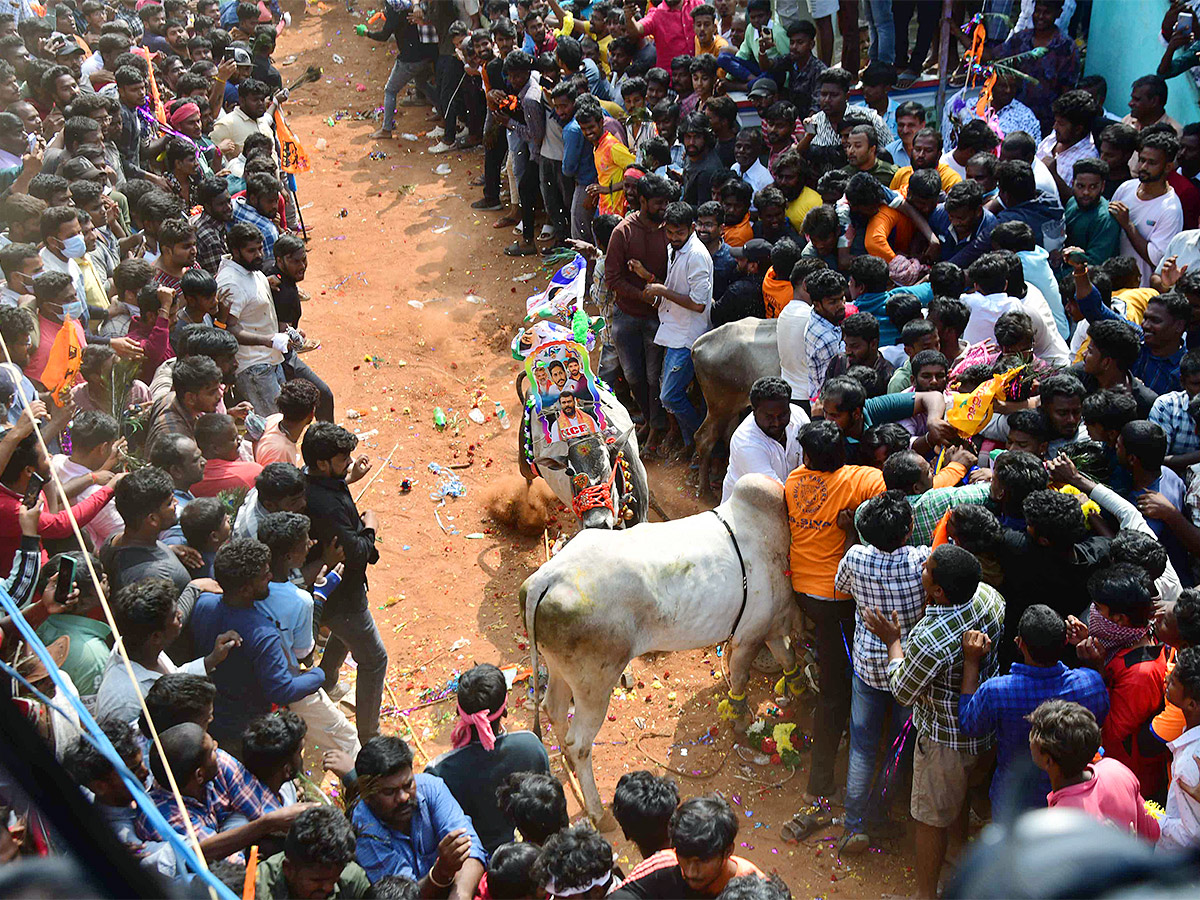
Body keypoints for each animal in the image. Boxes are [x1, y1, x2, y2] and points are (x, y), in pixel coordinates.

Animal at [518, 475, 806, 830]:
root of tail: (545, 578)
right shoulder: (748, 637)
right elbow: (740, 681)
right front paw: (740, 722)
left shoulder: (774, 630)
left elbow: (788, 660)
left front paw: (796, 690)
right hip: (594, 685)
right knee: (579, 744)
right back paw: (598, 811)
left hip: (558, 668)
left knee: (554, 710)